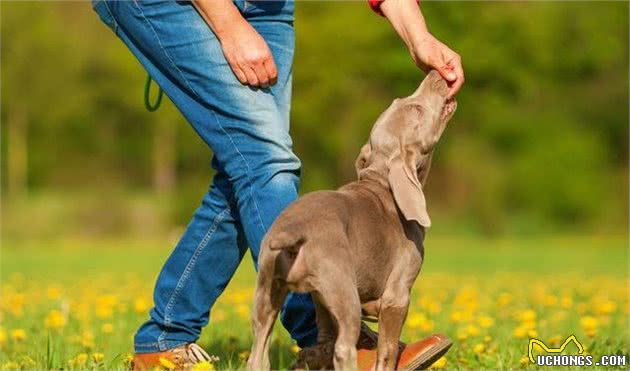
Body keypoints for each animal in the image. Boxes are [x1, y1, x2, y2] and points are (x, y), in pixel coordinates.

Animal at [248, 70, 460, 371]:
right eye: (416, 109)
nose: (435, 73)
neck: (382, 184)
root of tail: (290, 233)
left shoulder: (321, 301)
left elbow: (325, 339)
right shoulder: (397, 295)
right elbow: (387, 350)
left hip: (268, 289)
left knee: (259, 349)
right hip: (343, 289)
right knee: (343, 347)